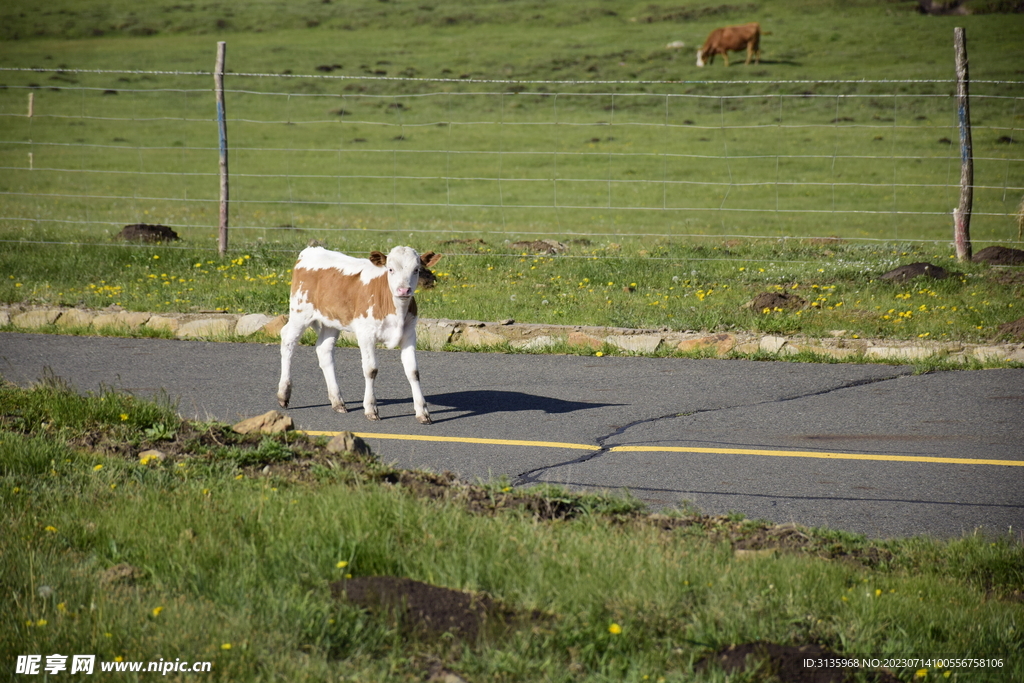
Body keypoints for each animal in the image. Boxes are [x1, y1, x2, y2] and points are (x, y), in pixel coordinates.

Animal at [278, 245, 442, 423]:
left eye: (416, 269)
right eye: (390, 269)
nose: (404, 290)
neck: (396, 309)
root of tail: (311, 250)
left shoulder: (409, 334)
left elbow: (413, 372)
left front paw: (422, 412)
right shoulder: (366, 334)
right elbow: (371, 370)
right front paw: (370, 408)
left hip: (332, 320)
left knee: (324, 350)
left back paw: (338, 402)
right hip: (300, 312)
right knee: (287, 340)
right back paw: (284, 394)